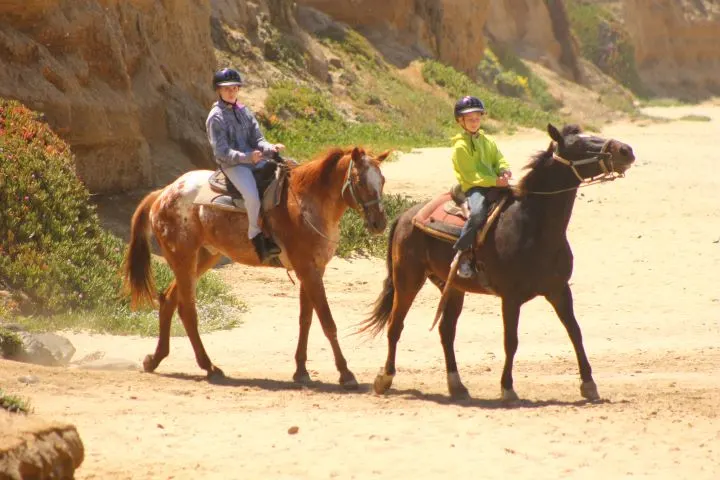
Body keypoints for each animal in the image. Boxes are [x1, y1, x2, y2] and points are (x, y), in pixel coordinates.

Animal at [126, 146, 390, 386]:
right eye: (359, 181)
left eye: (382, 180)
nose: (379, 223)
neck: (306, 202)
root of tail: (163, 193)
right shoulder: (308, 270)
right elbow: (327, 322)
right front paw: (345, 373)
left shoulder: (312, 270)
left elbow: (305, 320)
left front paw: (301, 371)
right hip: (184, 258)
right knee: (187, 310)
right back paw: (209, 367)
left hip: (202, 258)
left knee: (168, 300)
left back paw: (155, 359)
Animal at [362, 124, 632, 402]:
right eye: (578, 145)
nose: (626, 150)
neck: (533, 225)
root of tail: (405, 216)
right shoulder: (511, 298)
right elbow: (511, 341)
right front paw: (507, 388)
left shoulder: (559, 290)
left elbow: (575, 332)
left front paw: (589, 384)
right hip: (407, 280)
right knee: (396, 325)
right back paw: (384, 378)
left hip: (452, 288)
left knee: (446, 331)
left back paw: (457, 385)